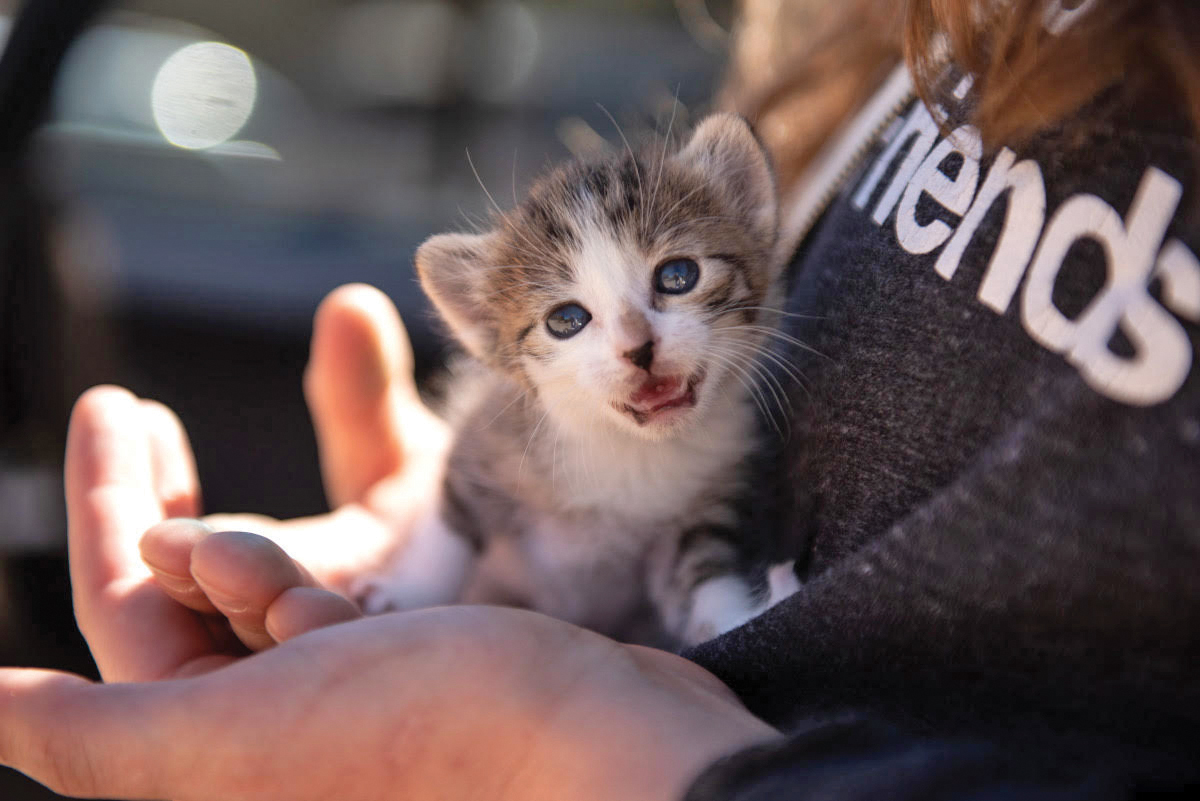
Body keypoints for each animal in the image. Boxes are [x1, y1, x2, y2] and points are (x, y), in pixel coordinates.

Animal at [355, 115, 796, 647]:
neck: (631, 449)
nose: (638, 348)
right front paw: (406, 593)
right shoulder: (486, 440)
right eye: (566, 320)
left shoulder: (699, 507)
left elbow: (702, 584)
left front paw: (741, 615)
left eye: (678, 275)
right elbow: (451, 521)